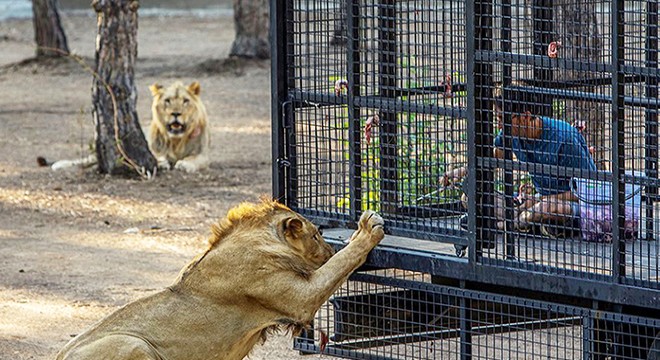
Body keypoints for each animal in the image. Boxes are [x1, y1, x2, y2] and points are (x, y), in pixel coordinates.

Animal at [56, 200, 386, 360]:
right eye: (317, 234)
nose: (328, 247)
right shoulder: (299, 299)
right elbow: (341, 263)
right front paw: (368, 228)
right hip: (134, 344)